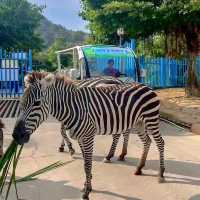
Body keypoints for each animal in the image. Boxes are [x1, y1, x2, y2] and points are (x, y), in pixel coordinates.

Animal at [12, 72, 166, 200]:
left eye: (37, 103)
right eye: (21, 102)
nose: (16, 136)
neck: (73, 108)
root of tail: (146, 86)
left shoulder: (88, 137)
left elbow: (87, 164)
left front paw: (87, 192)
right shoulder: (81, 137)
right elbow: (85, 162)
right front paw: (87, 185)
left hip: (150, 119)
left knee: (160, 142)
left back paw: (161, 174)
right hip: (138, 123)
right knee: (147, 141)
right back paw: (139, 168)